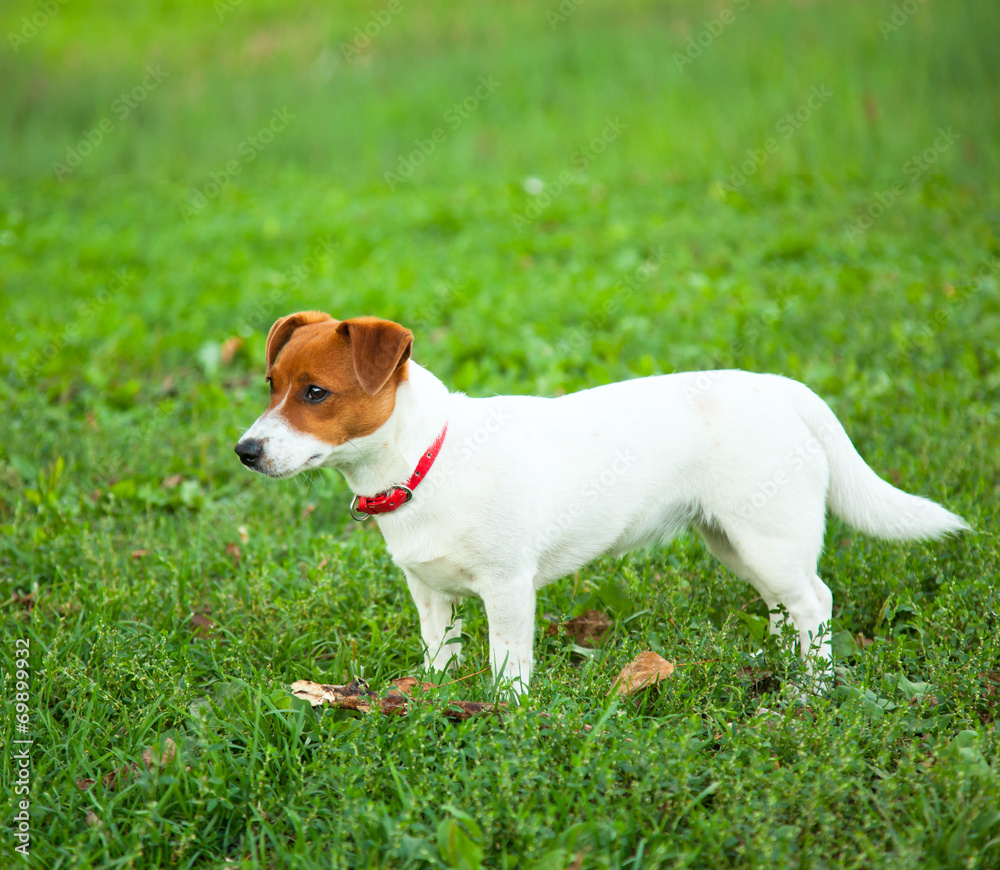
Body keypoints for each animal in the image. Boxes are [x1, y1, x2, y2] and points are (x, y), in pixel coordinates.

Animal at [234, 312, 968, 696]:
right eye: (270, 384)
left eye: (316, 393)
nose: (245, 450)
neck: (426, 460)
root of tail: (778, 388)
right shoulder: (431, 595)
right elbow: (439, 654)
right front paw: (434, 700)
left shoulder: (507, 588)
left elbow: (507, 663)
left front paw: (503, 716)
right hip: (738, 544)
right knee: (790, 608)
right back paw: (785, 664)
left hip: (769, 540)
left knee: (817, 602)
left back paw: (811, 688)